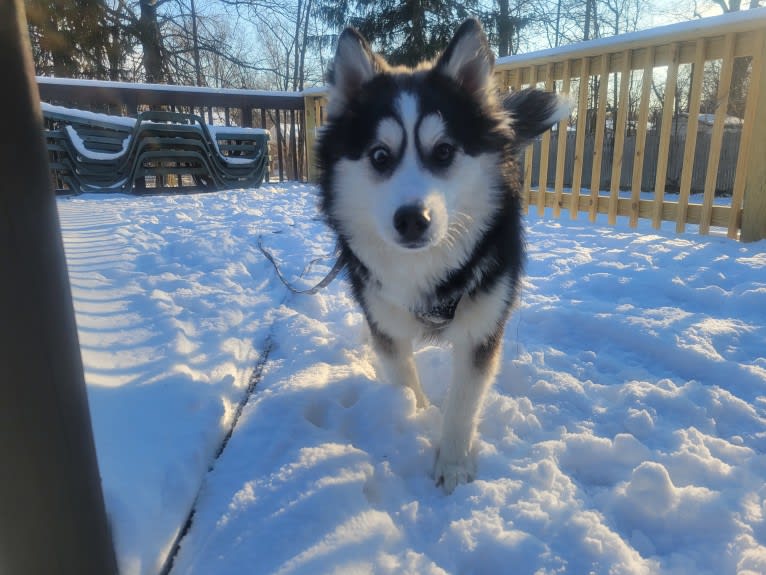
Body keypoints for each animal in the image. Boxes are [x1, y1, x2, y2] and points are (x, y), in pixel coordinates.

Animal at [314, 19, 568, 496]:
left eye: (445, 151)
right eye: (380, 156)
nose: (413, 220)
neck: (427, 271)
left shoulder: (481, 328)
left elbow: (464, 403)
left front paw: (452, 463)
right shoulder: (386, 320)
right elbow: (404, 378)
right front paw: (412, 417)